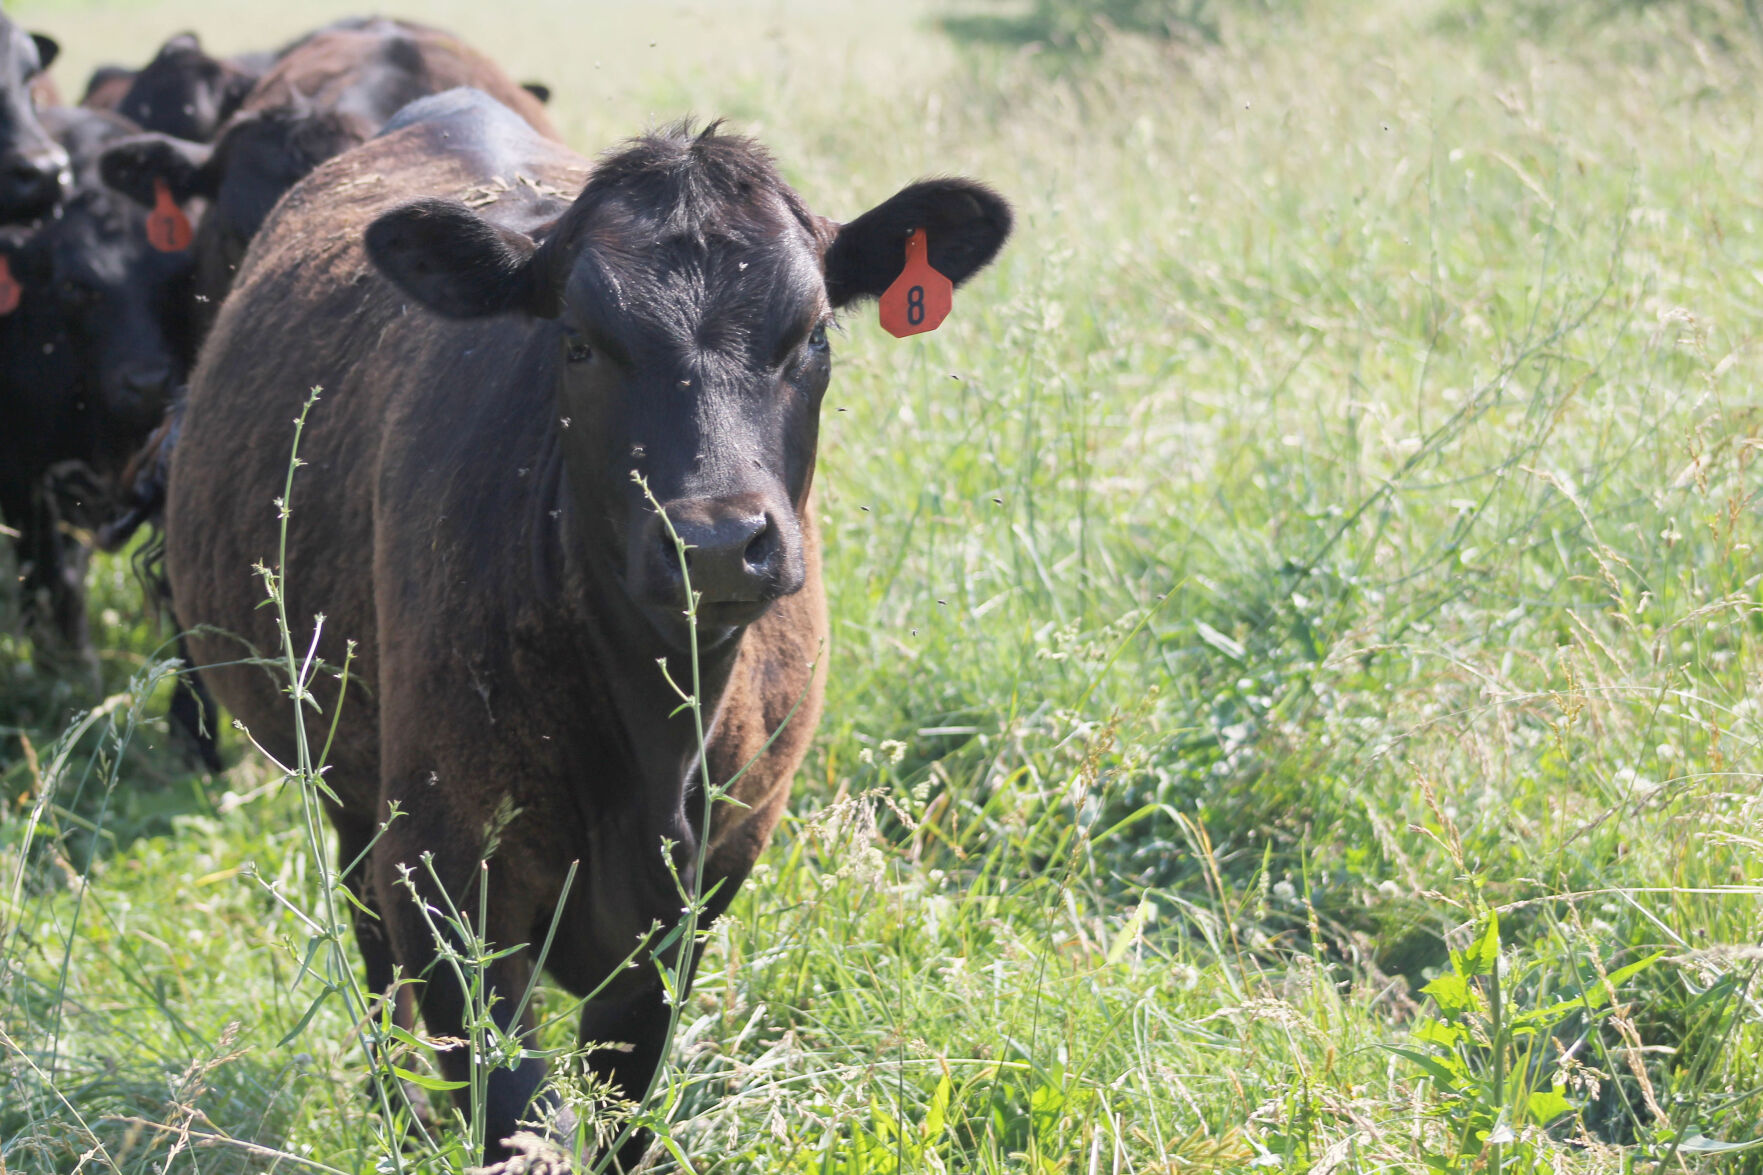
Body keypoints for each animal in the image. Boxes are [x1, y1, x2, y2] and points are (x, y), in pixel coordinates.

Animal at [163, 87, 1010, 1169]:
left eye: (814, 333)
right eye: (576, 339)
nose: (714, 542)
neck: (652, 738)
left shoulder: (695, 901)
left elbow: (622, 1107)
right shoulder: (442, 878)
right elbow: (514, 1108)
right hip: (347, 786)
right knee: (368, 951)